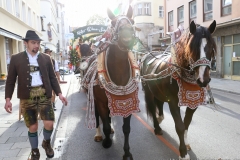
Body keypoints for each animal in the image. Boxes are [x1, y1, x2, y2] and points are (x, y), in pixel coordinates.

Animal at [84, 6, 137, 160]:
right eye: (113, 23)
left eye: (132, 21)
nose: (127, 37)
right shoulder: (100, 101)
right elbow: (105, 124)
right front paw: (107, 142)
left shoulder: (128, 101)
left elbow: (126, 129)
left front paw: (127, 152)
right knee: (97, 117)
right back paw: (98, 135)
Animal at [140, 20, 217, 159]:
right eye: (192, 48)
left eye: (211, 48)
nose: (203, 80)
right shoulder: (173, 102)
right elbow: (180, 126)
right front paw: (183, 153)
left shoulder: (193, 103)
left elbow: (186, 123)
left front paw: (185, 144)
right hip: (148, 92)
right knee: (153, 109)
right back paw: (157, 128)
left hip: (158, 91)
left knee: (159, 104)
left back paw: (159, 119)